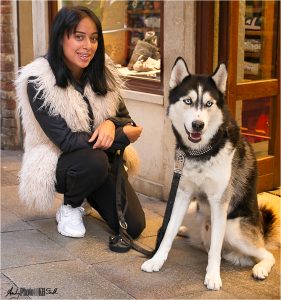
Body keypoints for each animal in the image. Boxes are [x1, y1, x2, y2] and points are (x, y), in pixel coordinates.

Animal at [141, 56, 278, 290]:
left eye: (208, 104)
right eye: (188, 101)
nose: (198, 124)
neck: (202, 152)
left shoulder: (218, 201)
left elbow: (215, 247)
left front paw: (213, 276)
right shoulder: (183, 194)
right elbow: (168, 232)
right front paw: (156, 260)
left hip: (233, 228)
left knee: (266, 253)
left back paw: (260, 268)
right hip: (194, 208)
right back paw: (185, 230)